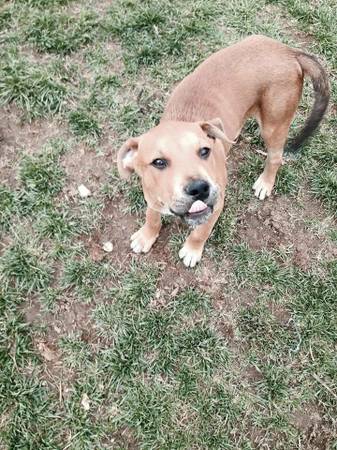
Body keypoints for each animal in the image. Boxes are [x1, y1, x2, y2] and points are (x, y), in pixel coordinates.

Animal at [117, 36, 326, 268]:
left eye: (204, 151)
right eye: (158, 162)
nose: (199, 188)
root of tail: (289, 52)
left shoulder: (216, 204)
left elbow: (201, 231)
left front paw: (192, 249)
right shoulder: (151, 195)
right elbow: (152, 216)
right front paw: (146, 235)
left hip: (274, 124)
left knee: (275, 157)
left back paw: (265, 182)